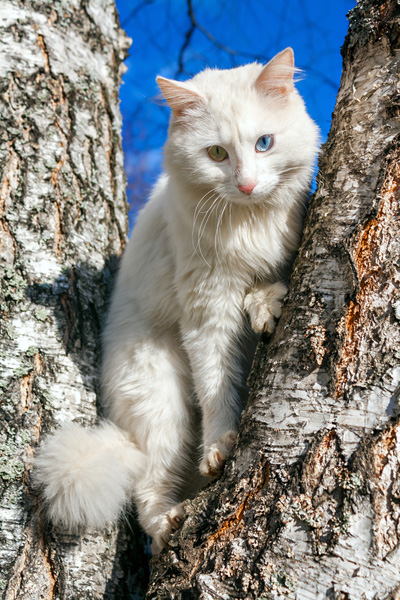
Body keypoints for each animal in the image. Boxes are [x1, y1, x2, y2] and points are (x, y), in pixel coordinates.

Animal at [35, 48, 322, 552]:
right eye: (217, 154)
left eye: (264, 143)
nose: (246, 185)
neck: (250, 221)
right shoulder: (208, 310)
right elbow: (218, 388)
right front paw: (220, 445)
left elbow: (268, 286)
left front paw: (265, 304)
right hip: (162, 402)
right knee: (147, 486)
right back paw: (167, 521)